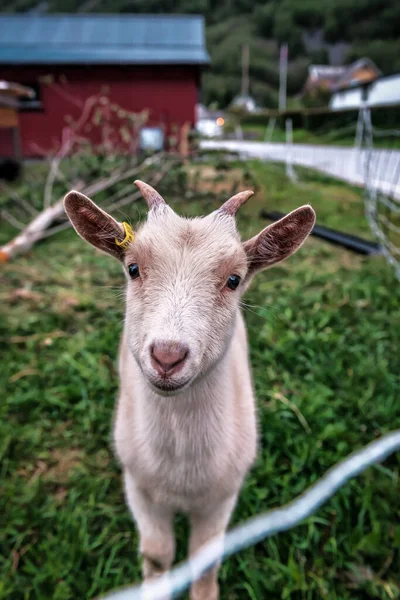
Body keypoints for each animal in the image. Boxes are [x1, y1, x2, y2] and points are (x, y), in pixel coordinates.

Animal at [64, 183, 316, 600]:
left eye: (234, 279)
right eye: (133, 268)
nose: (168, 356)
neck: (182, 472)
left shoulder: (223, 495)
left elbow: (205, 559)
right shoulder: (140, 487)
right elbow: (157, 556)